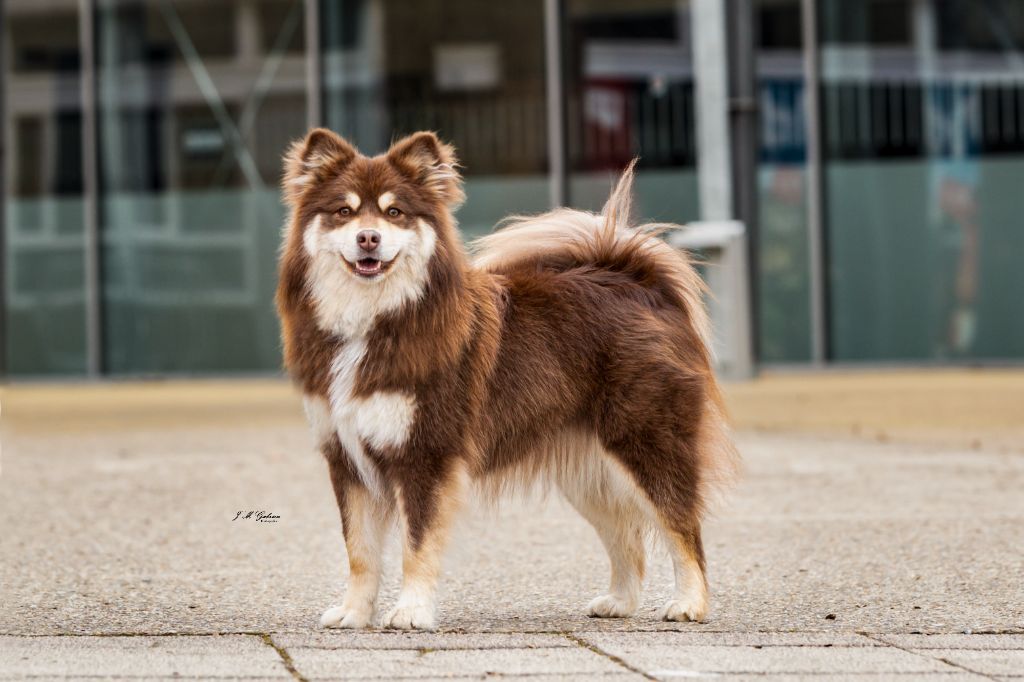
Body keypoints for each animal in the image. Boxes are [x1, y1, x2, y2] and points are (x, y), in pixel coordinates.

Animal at [274, 125, 737, 626]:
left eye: (394, 212)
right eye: (344, 212)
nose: (368, 238)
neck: (375, 318)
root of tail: (639, 282)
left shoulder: (426, 455)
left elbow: (416, 546)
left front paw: (412, 611)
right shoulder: (347, 458)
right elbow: (359, 551)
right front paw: (353, 614)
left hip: (647, 442)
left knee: (681, 525)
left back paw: (690, 603)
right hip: (589, 472)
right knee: (627, 536)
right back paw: (619, 602)